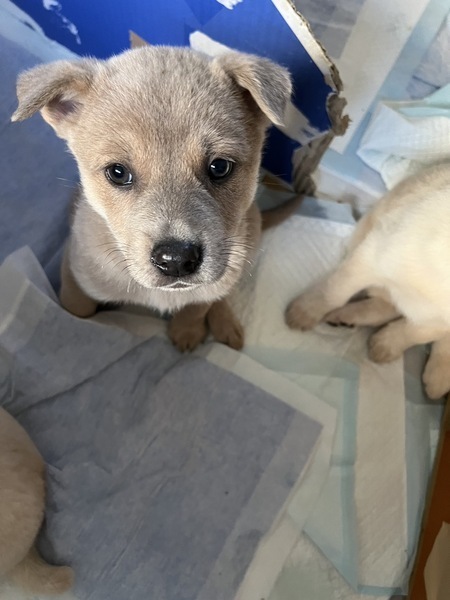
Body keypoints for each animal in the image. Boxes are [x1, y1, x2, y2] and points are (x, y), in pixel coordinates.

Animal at [12, 46, 292, 351]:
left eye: (220, 166)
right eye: (118, 172)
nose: (176, 259)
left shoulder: (216, 279)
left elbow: (199, 304)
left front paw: (186, 332)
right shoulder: (76, 269)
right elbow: (78, 308)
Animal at [285, 163, 450, 400]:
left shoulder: (439, 322)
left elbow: (416, 332)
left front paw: (387, 344)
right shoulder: (372, 257)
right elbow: (334, 291)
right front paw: (306, 312)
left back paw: (439, 374)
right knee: (383, 302)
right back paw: (345, 315)